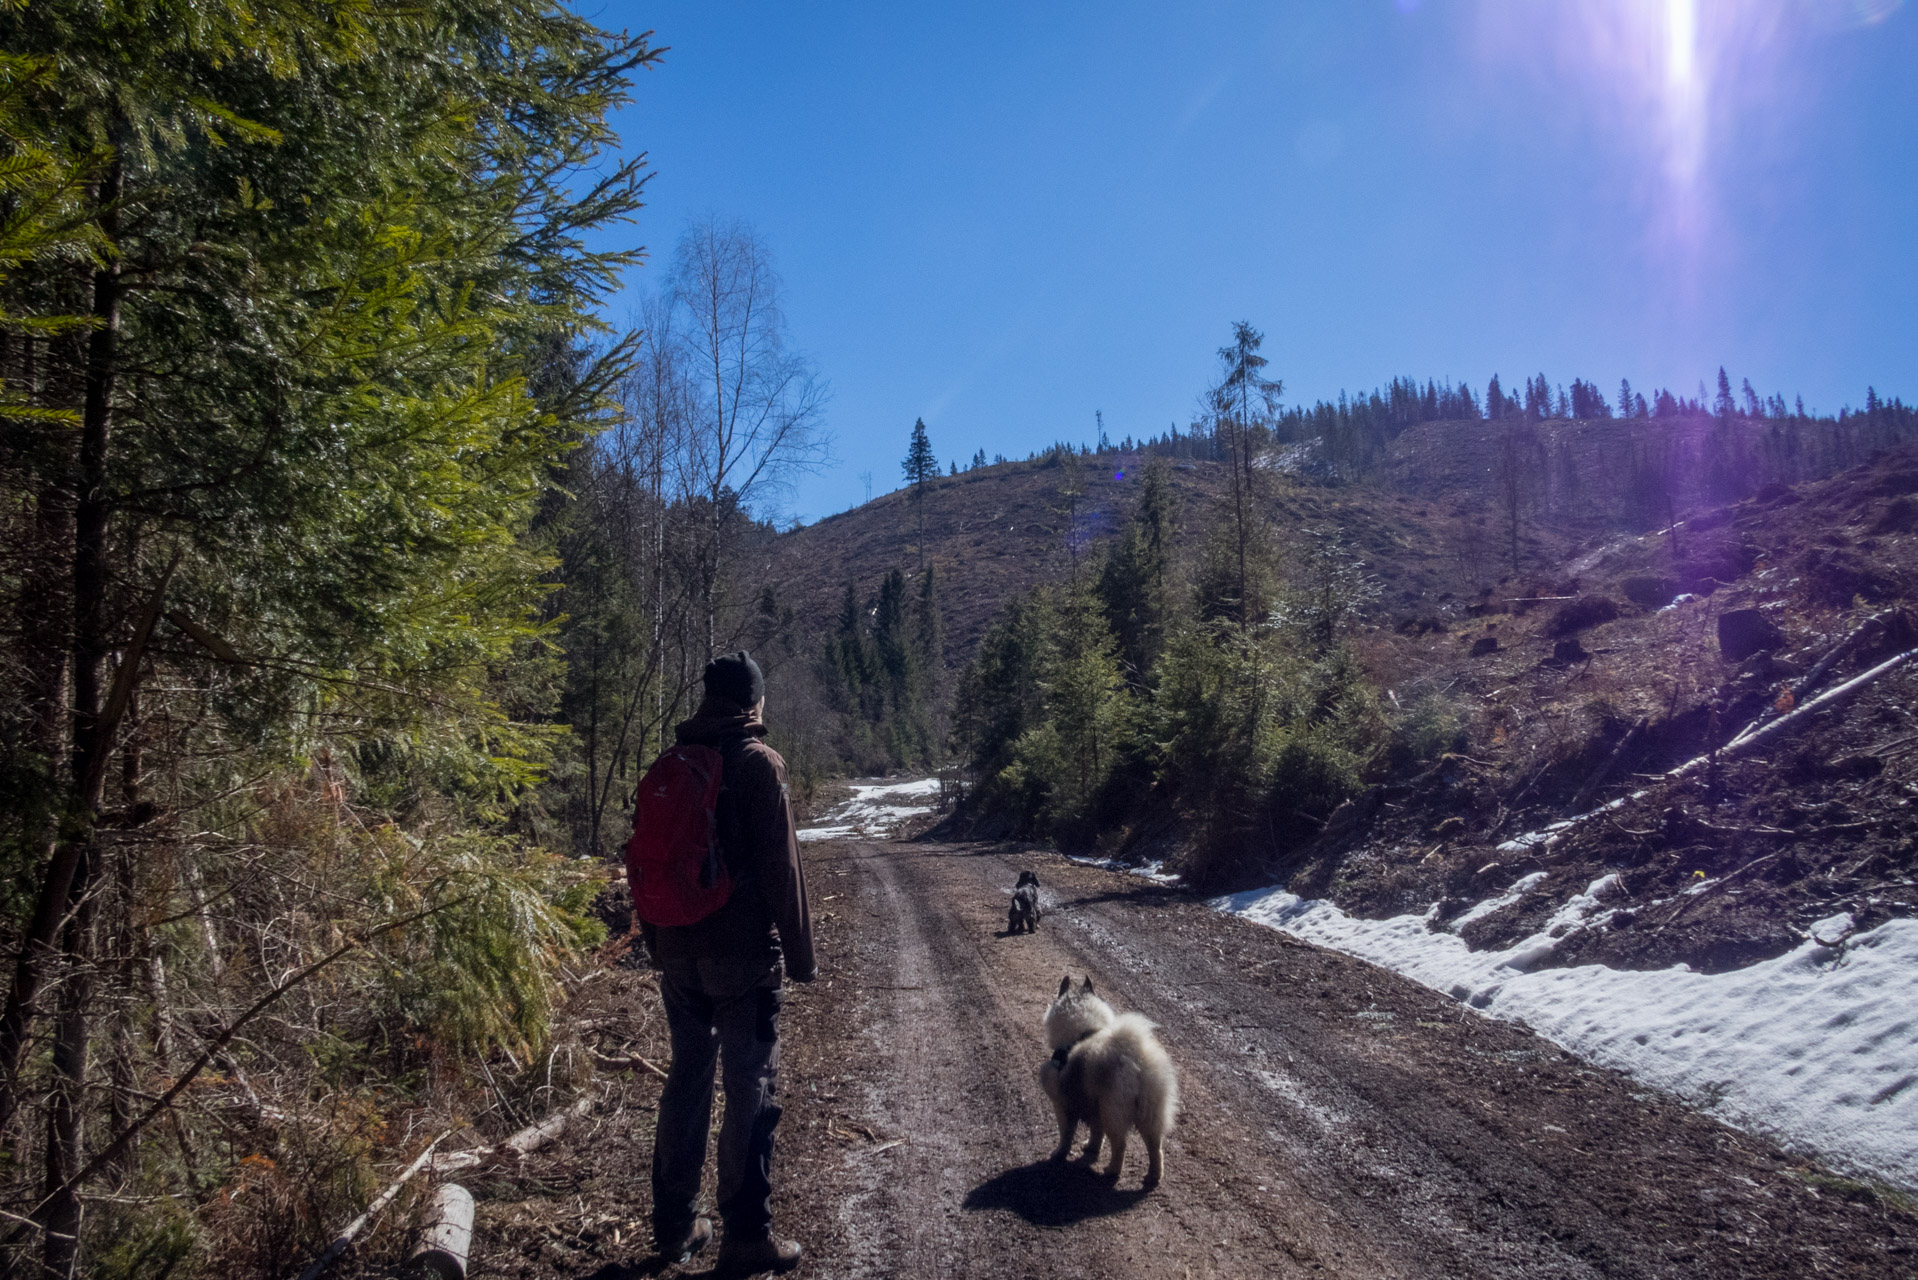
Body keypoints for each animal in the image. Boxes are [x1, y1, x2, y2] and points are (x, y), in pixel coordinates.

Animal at [1043, 982, 1173, 1189]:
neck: (1083, 1033)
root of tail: (1135, 1063)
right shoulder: (1094, 1108)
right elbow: (1096, 1133)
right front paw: (1091, 1148)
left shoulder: (1062, 1104)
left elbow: (1066, 1134)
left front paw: (1059, 1154)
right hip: (1149, 1113)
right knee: (1155, 1147)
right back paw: (1153, 1176)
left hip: (1113, 1111)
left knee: (1120, 1145)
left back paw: (1112, 1171)